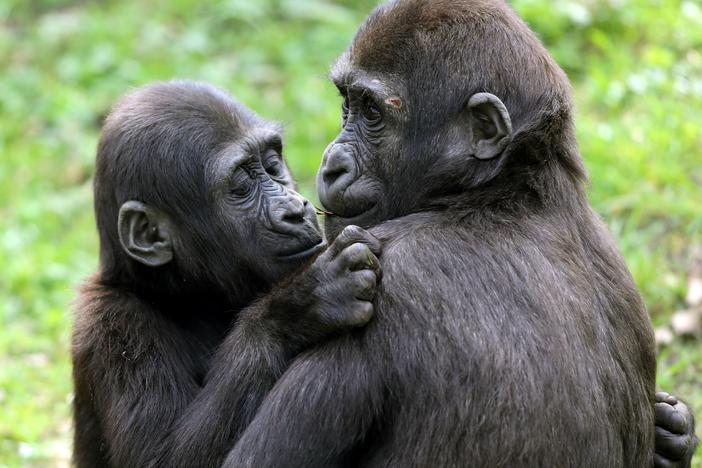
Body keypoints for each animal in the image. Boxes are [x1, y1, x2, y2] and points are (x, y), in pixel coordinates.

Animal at [70, 81, 384, 468]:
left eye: (272, 164)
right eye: (240, 183)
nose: (294, 210)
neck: (188, 297)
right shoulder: (113, 324)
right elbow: (163, 458)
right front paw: (302, 301)